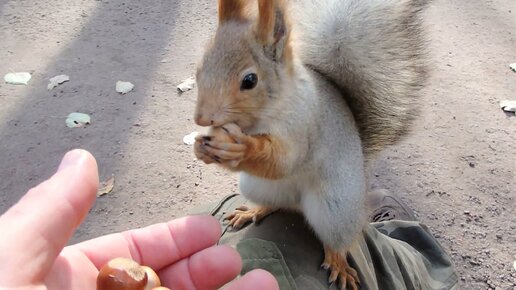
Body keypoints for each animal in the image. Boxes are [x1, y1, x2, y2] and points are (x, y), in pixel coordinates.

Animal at [192, 1, 428, 288]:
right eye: (199, 69)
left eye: (249, 80)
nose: (201, 118)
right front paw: (201, 148)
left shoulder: (303, 128)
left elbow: (282, 162)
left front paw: (243, 148)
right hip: (258, 186)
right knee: (277, 204)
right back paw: (253, 211)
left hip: (335, 208)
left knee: (338, 239)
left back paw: (339, 262)